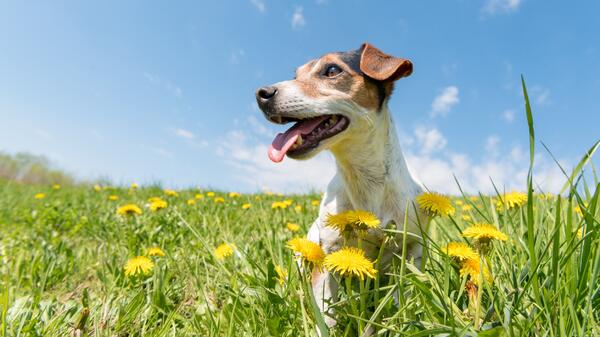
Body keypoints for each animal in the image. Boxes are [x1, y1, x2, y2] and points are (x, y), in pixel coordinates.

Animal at [255, 43, 428, 330]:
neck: (363, 179)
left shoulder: (412, 249)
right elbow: (326, 314)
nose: (261, 94)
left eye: (332, 70)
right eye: (295, 75)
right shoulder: (329, 256)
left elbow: (399, 298)